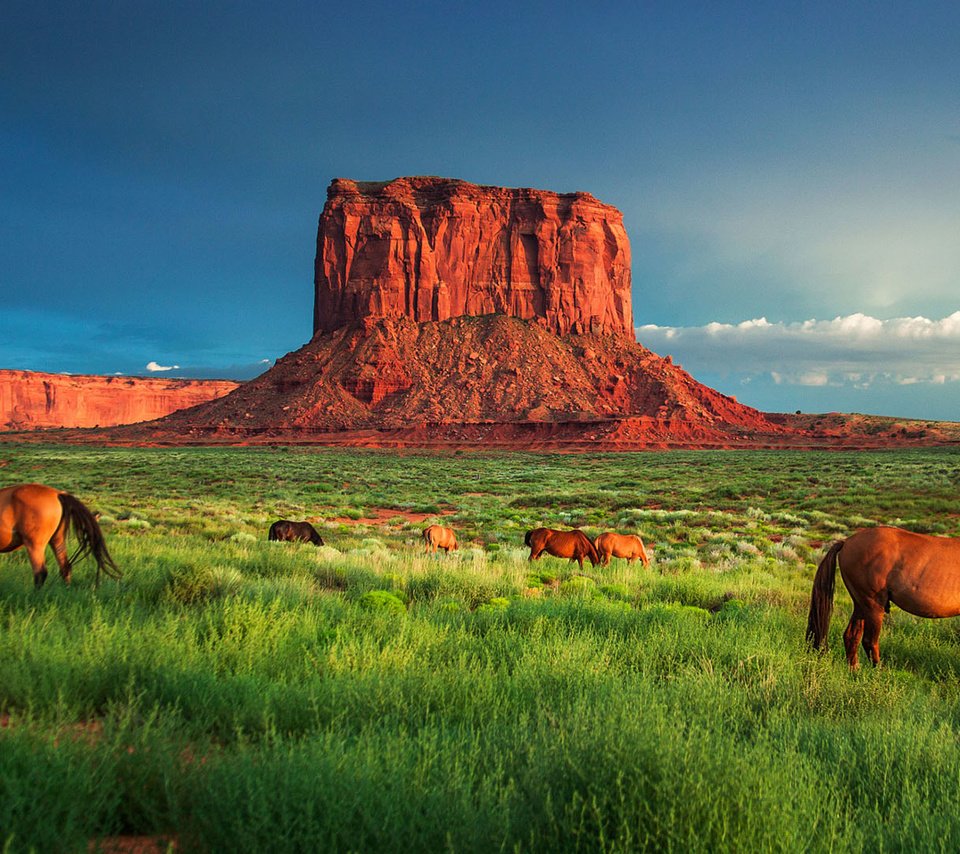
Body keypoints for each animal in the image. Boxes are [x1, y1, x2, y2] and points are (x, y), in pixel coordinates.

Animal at [808, 528, 960, 668]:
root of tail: (847, 542)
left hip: (860, 605)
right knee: (869, 641)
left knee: (851, 636)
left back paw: (854, 670)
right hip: (873, 606)